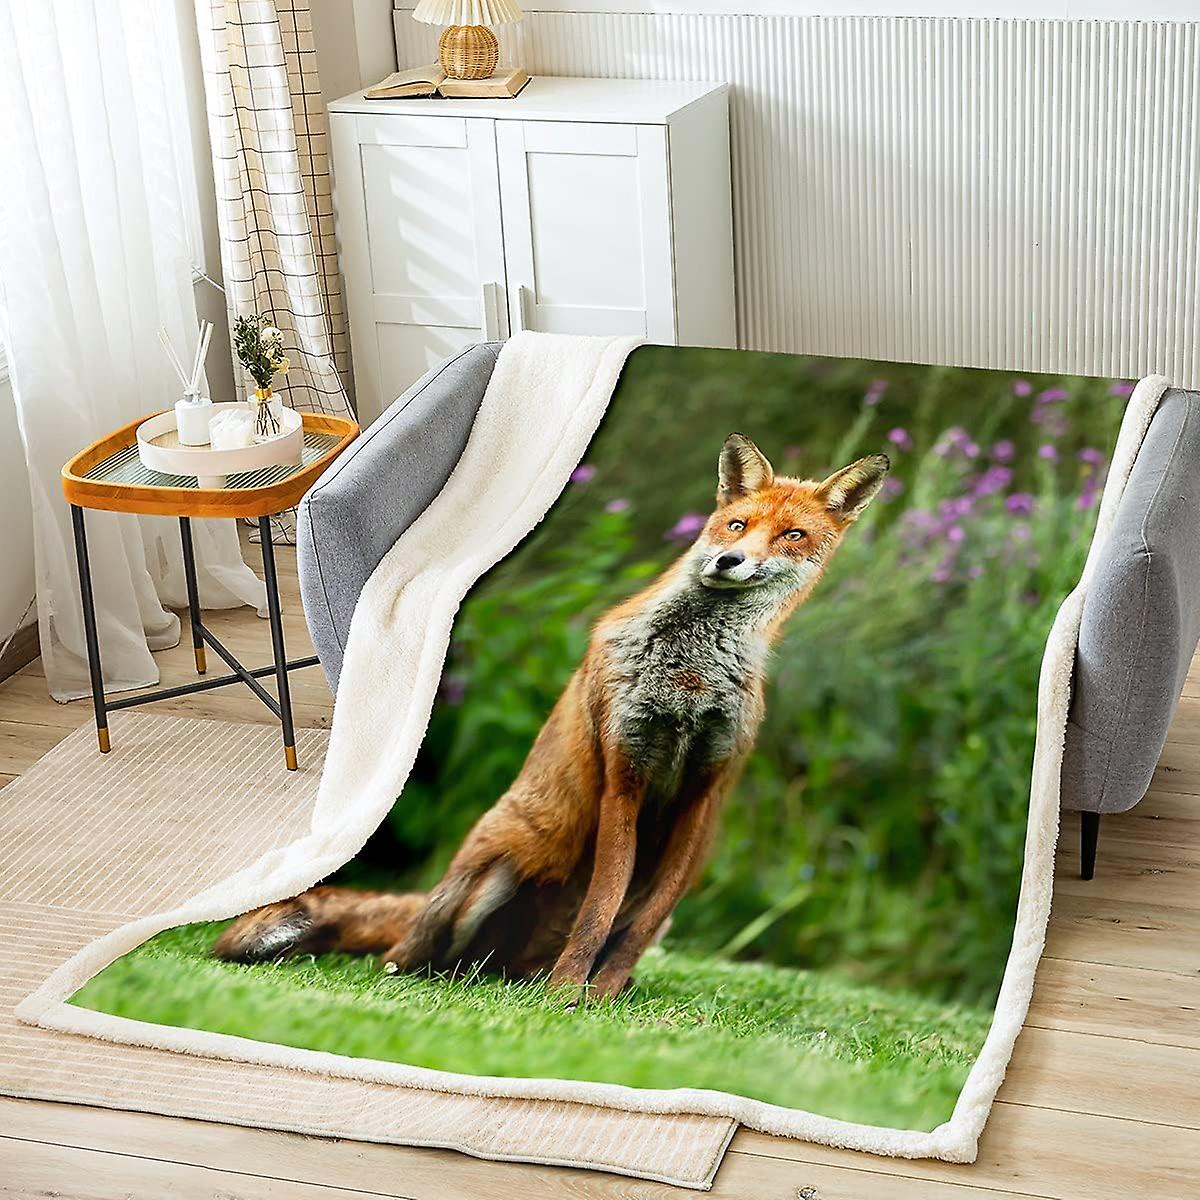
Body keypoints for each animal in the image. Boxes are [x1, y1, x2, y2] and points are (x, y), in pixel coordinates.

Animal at [215, 434, 890, 1001]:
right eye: (737, 525)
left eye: (792, 535)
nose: (727, 561)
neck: (687, 677)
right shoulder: (625, 772)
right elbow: (600, 904)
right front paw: (570, 995)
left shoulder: (704, 791)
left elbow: (633, 923)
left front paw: (601, 994)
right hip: (499, 868)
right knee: (412, 961)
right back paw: (479, 980)